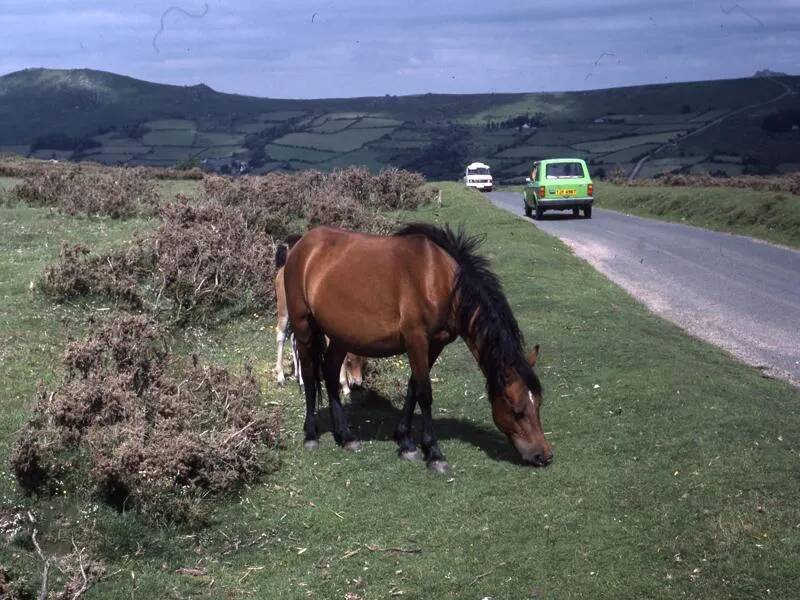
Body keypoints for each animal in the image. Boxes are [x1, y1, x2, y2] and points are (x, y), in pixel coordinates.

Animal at [284, 223, 552, 472]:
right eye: (517, 410)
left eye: (538, 404)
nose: (543, 456)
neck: (439, 280)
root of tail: (301, 244)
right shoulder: (416, 340)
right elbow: (425, 393)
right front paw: (434, 452)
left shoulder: (435, 344)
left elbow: (414, 386)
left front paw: (405, 441)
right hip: (304, 326)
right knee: (309, 375)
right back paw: (311, 435)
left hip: (341, 335)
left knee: (330, 373)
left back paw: (345, 436)